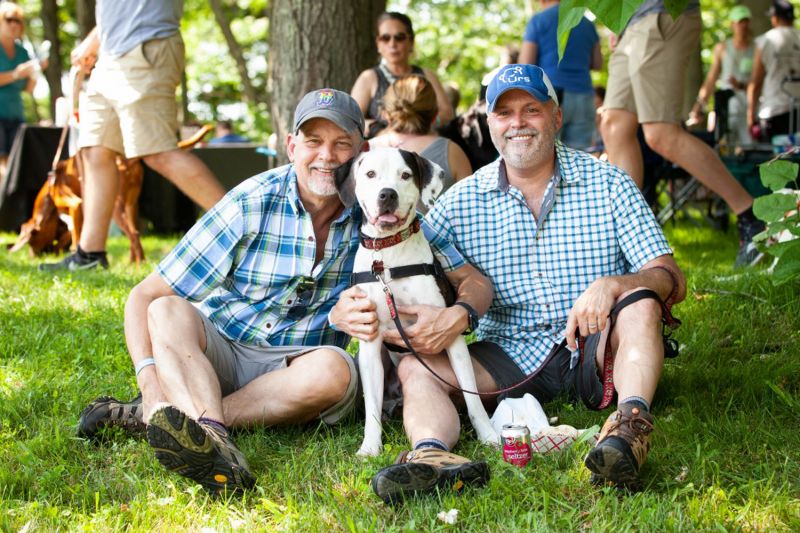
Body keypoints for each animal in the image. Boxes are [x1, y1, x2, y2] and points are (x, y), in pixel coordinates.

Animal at [10, 127, 211, 264]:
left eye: (31, 242)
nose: (32, 256)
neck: (49, 195)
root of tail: (127, 159)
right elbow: (71, 235)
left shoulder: (75, 205)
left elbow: (76, 236)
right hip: (130, 205)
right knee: (135, 234)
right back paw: (134, 262)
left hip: (115, 206)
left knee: (132, 234)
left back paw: (137, 264)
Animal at [334, 148, 496, 456]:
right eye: (370, 174)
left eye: (405, 175)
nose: (387, 194)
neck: (387, 257)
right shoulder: (369, 342)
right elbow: (371, 407)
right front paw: (370, 447)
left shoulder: (450, 333)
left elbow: (473, 397)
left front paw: (488, 435)